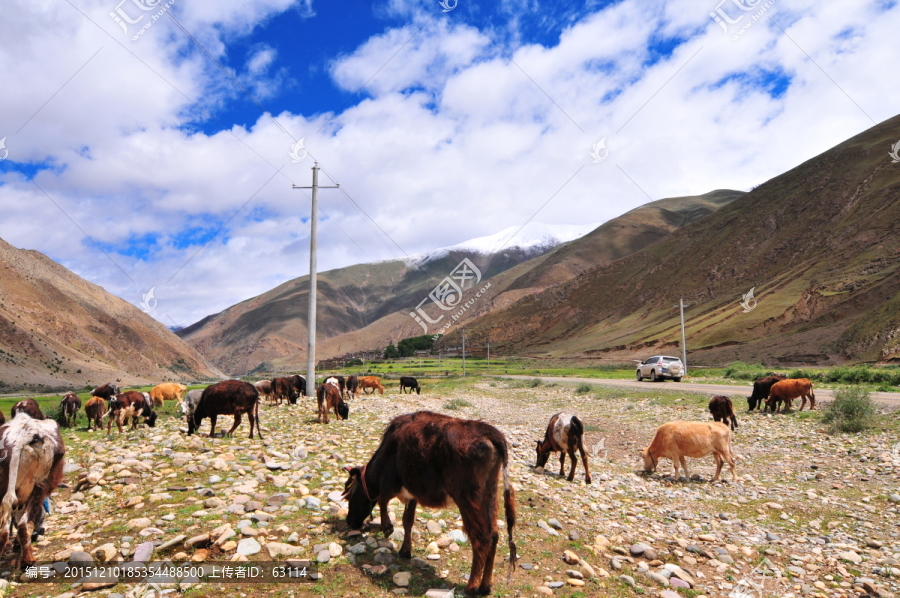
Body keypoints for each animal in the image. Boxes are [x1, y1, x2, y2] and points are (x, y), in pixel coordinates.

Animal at [342, 412, 516, 598]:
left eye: (350, 495)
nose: (349, 521)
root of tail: (490, 432)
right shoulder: (413, 490)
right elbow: (407, 520)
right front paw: (405, 551)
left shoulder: (390, 480)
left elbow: (382, 500)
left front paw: (387, 527)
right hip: (490, 492)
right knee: (494, 535)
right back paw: (485, 586)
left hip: (467, 496)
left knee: (481, 537)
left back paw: (471, 587)